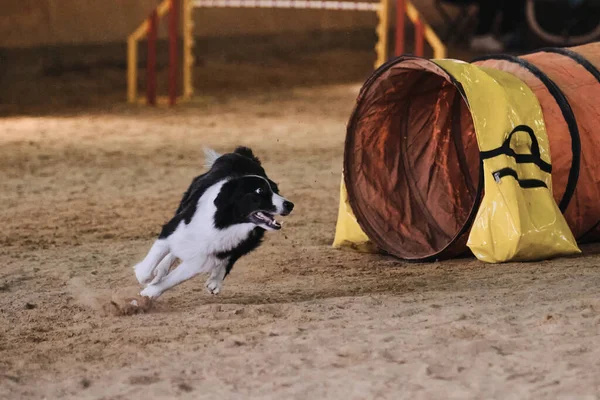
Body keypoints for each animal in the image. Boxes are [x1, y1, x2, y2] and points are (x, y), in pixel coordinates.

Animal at [136, 145, 296, 298]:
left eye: (276, 190)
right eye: (259, 191)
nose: (290, 205)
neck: (223, 223)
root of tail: (244, 154)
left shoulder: (203, 258)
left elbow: (173, 279)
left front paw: (149, 293)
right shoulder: (175, 227)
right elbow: (149, 266)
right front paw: (146, 277)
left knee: (230, 257)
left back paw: (215, 280)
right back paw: (160, 270)